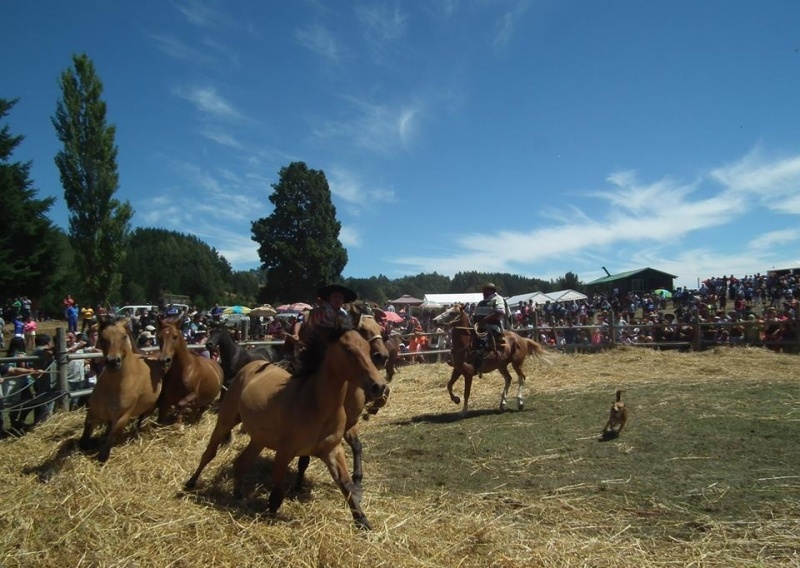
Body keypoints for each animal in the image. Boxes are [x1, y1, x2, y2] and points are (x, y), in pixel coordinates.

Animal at [79, 318, 165, 464]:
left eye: (124, 336)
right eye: (102, 338)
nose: (113, 362)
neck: (115, 386)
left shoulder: (122, 416)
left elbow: (110, 440)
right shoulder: (93, 412)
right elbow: (87, 431)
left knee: (142, 416)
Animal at [185, 326, 390, 532]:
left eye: (367, 348)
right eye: (347, 350)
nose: (379, 386)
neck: (316, 404)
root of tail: (251, 366)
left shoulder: (332, 450)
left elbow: (346, 485)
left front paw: (363, 521)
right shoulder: (285, 452)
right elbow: (277, 493)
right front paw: (270, 514)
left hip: (259, 439)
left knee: (241, 462)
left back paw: (238, 494)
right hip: (225, 421)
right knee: (209, 453)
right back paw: (191, 483)